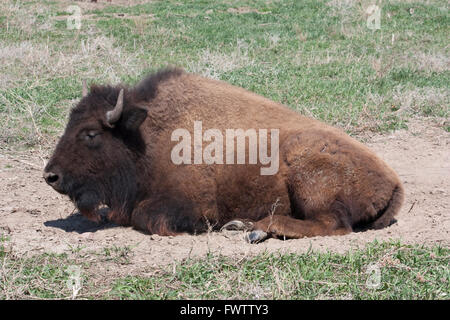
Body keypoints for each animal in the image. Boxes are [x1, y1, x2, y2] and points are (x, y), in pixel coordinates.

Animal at [44, 67, 404, 242]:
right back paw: (242, 225)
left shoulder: (190, 205)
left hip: (310, 184)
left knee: (331, 224)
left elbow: (145, 217)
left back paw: (257, 229)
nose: (51, 175)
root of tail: (393, 181)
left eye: (90, 133)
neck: (146, 135)